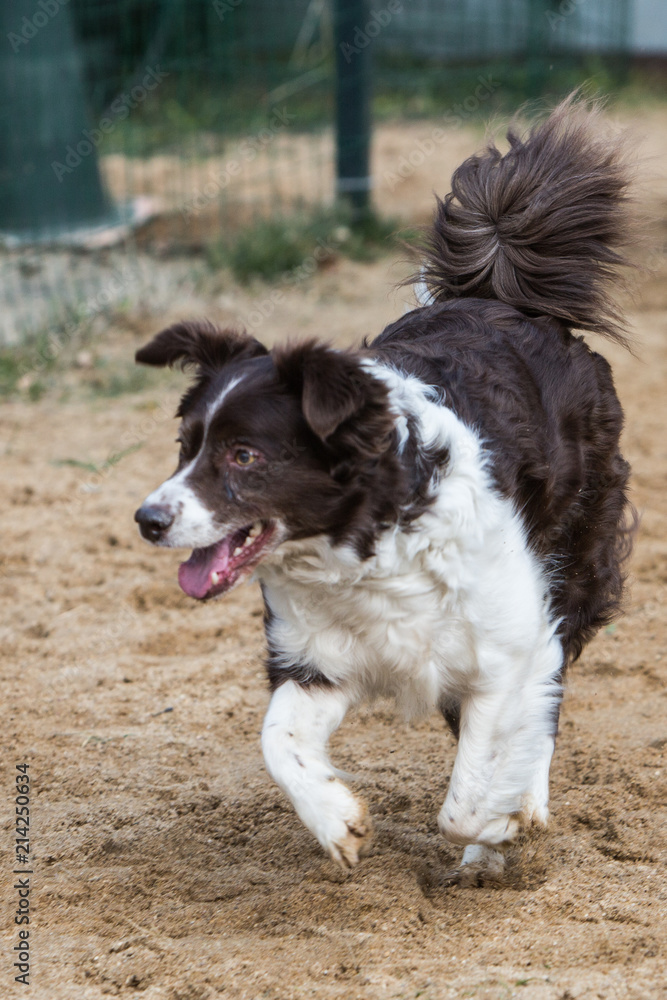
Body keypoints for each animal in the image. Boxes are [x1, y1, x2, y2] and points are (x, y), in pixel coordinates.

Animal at [134, 96, 636, 880]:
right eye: (186, 447)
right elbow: (277, 740)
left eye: (244, 455)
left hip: (574, 562)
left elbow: (471, 792)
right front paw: (336, 821)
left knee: (546, 695)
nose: (148, 518)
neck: (370, 546)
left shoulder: (508, 643)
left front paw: (499, 826)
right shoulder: (316, 659)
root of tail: (502, 296)